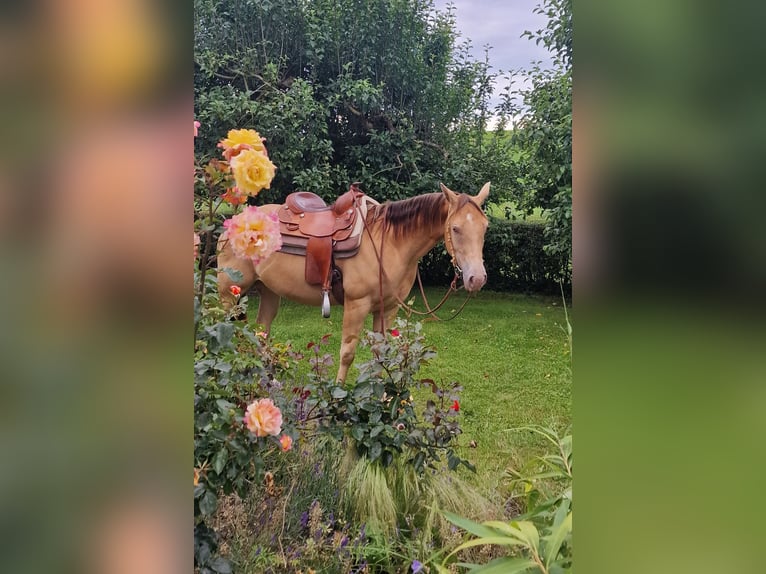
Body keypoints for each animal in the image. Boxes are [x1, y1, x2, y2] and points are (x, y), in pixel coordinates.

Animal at [216, 183, 492, 382]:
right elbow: (347, 353)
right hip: (229, 294)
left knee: (261, 333)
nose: (476, 278)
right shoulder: (357, 305)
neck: (390, 243)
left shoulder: (387, 308)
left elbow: (382, 353)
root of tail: (230, 224)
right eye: (455, 229)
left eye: (485, 227)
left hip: (269, 291)